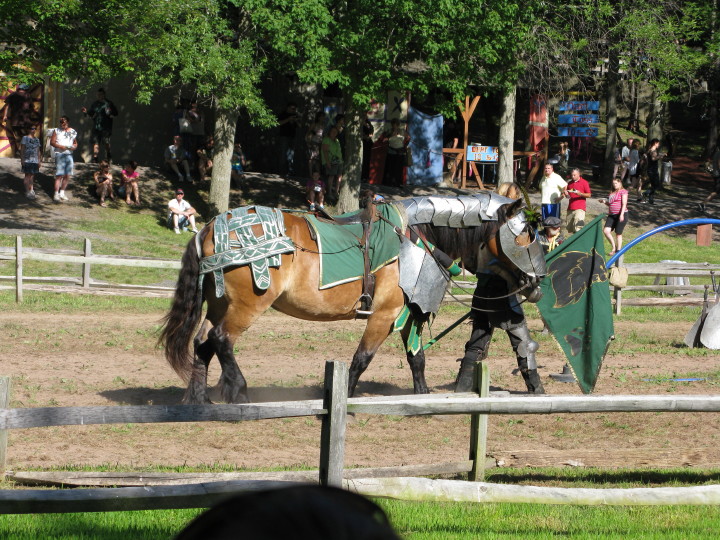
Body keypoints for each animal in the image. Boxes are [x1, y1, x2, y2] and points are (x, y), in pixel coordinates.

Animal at [160, 196, 544, 402]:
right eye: (525, 233)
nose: (537, 282)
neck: (415, 235)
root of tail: (208, 229)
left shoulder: (406, 312)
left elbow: (416, 358)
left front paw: (421, 395)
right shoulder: (384, 314)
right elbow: (362, 359)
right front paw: (344, 397)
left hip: (219, 303)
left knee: (202, 342)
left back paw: (199, 399)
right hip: (247, 305)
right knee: (221, 339)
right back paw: (238, 391)